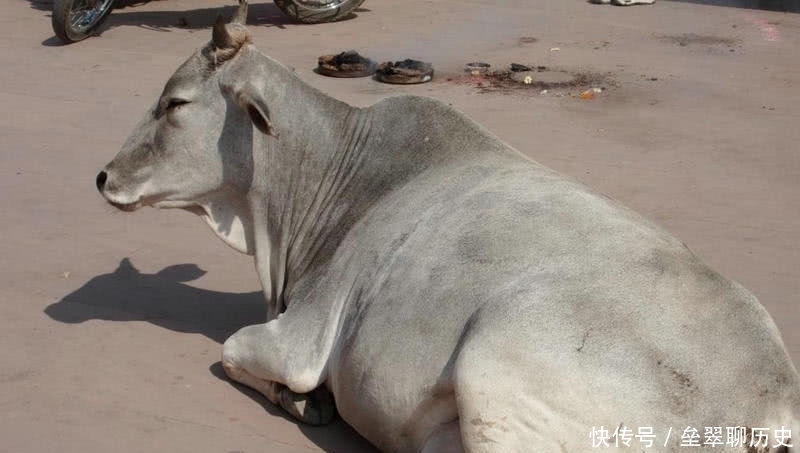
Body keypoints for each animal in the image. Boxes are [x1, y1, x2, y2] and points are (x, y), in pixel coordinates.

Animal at [95, 4, 800, 452]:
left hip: (496, 370)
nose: (103, 177)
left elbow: (235, 352)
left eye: (175, 102)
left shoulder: (303, 336)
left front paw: (302, 401)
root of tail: (770, 407)